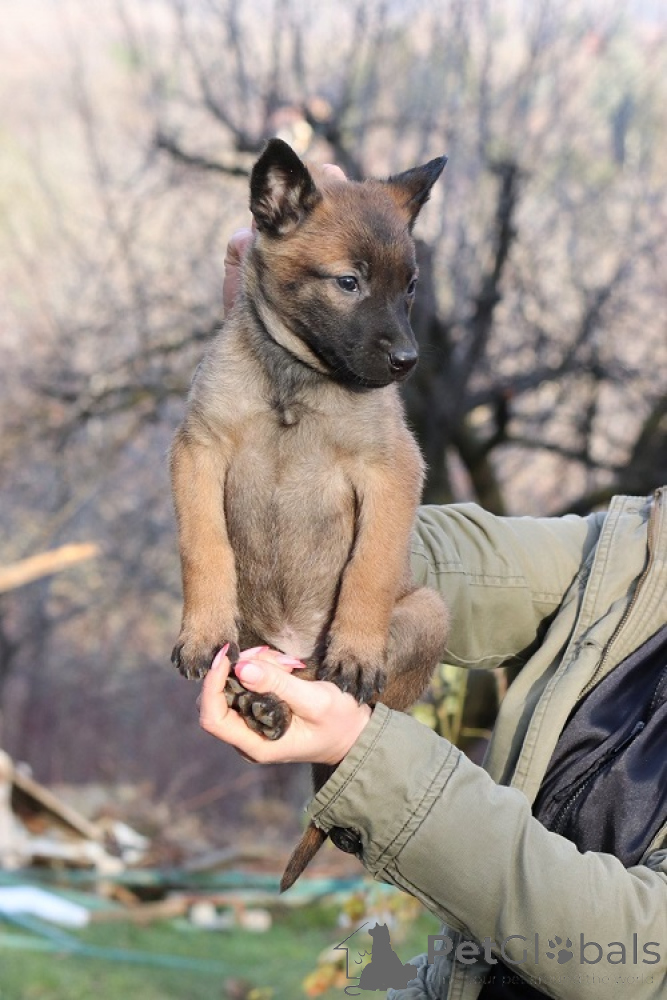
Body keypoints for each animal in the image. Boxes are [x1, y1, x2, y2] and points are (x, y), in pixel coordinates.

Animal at [170, 138, 449, 890]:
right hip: (256, 640)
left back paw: (294, 692)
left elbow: (371, 569)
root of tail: (289, 647)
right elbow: (203, 548)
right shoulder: (198, 452)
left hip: (425, 613)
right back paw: (257, 700)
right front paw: (201, 629)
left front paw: (353, 648)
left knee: (355, 688)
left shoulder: (394, 473)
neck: (296, 381)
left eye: (409, 288)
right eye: (347, 283)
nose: (408, 361)